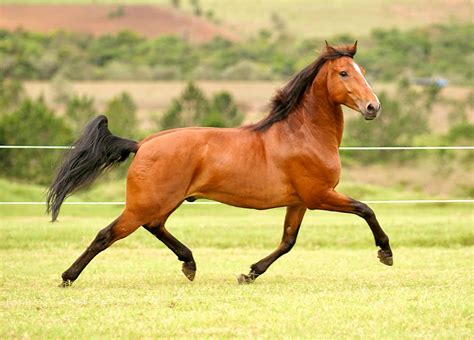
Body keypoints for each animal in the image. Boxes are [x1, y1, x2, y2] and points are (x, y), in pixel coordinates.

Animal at [47, 41, 392, 286]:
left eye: (362, 70)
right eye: (344, 73)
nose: (373, 107)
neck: (303, 134)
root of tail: (142, 144)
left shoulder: (300, 201)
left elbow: (288, 241)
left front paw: (249, 273)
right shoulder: (320, 196)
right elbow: (366, 209)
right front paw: (385, 253)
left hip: (164, 202)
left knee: (155, 226)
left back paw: (189, 264)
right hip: (145, 203)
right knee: (107, 234)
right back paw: (67, 277)